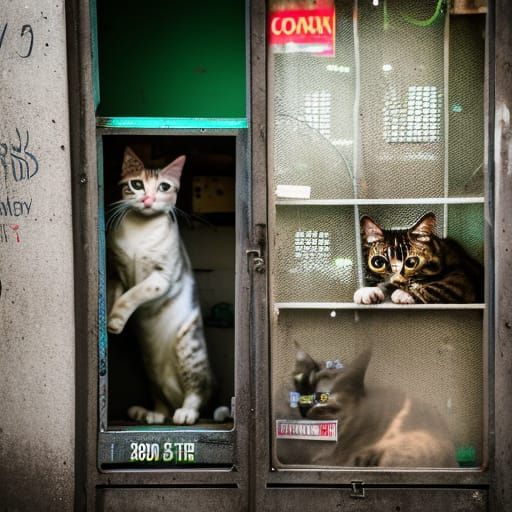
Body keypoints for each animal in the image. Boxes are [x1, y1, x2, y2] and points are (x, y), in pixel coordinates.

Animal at [107, 147, 213, 424]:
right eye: (136, 184)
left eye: (164, 186)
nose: (148, 199)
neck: (140, 231)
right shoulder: (116, 272)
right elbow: (117, 292)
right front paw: (109, 315)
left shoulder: (161, 278)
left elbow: (134, 293)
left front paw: (115, 321)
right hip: (150, 370)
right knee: (163, 401)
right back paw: (150, 414)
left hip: (188, 347)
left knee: (198, 391)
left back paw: (186, 412)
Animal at [354, 212, 482, 304]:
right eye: (378, 262)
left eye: (411, 262)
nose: (396, 280)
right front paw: (367, 291)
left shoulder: (461, 279)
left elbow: (438, 288)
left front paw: (402, 293)